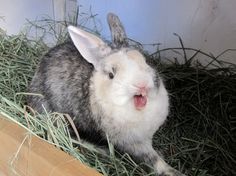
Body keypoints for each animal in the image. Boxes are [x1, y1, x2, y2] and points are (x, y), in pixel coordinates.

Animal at [27, 12, 185, 176]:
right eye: (111, 75)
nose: (142, 84)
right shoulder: (134, 143)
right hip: (55, 118)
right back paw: (102, 151)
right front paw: (174, 172)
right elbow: (154, 160)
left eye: (145, 61)